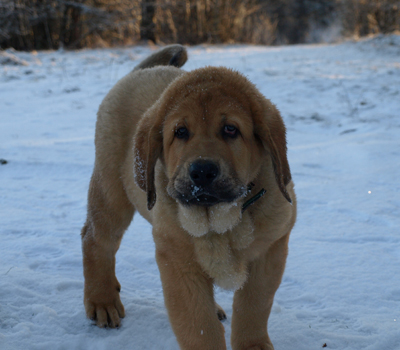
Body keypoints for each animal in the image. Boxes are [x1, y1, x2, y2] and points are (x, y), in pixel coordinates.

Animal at [81, 44, 296, 350]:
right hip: (110, 190)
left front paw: (253, 345)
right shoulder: (177, 263)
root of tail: (140, 72)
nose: (202, 171)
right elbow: (199, 326)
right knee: (95, 239)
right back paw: (102, 300)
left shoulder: (270, 251)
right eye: (180, 132)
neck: (221, 223)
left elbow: (253, 309)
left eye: (230, 129)